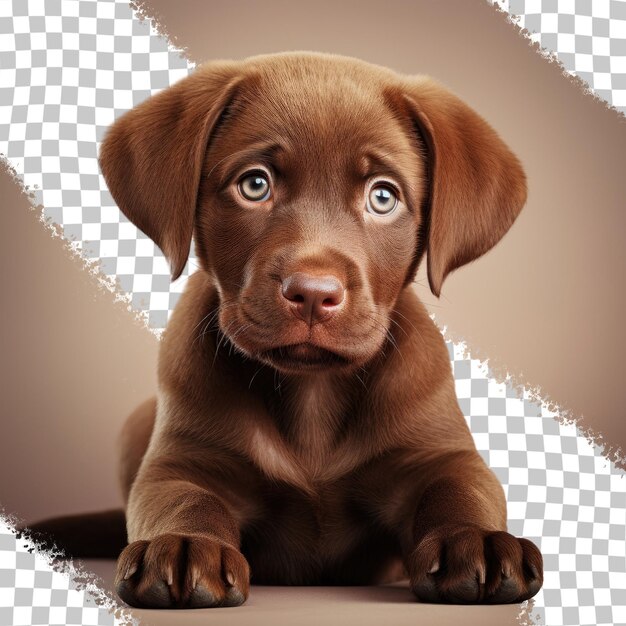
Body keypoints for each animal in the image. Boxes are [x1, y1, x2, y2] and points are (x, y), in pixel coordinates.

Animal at [56, 51, 540, 608]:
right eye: (255, 184)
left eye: (383, 197)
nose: (312, 293)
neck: (312, 396)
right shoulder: (183, 460)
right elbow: (181, 499)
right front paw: (181, 544)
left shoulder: (438, 454)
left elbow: (461, 489)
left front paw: (476, 541)